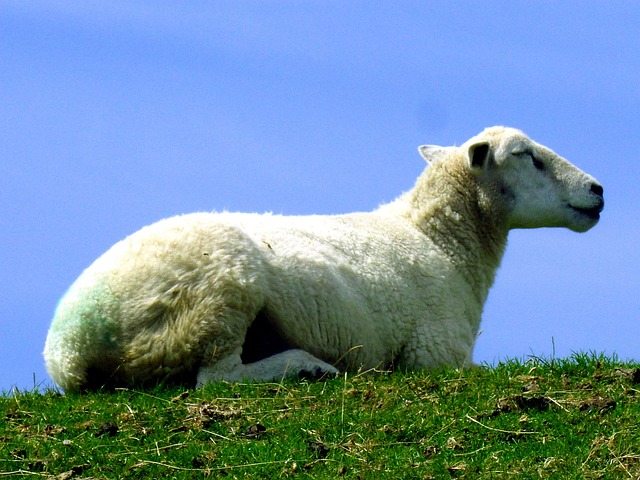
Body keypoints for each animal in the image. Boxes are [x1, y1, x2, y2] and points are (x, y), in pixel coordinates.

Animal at [43, 125, 604, 392]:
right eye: (526, 156)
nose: (598, 190)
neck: (438, 240)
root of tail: (68, 349)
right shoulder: (434, 354)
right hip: (218, 293)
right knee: (215, 378)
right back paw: (308, 368)